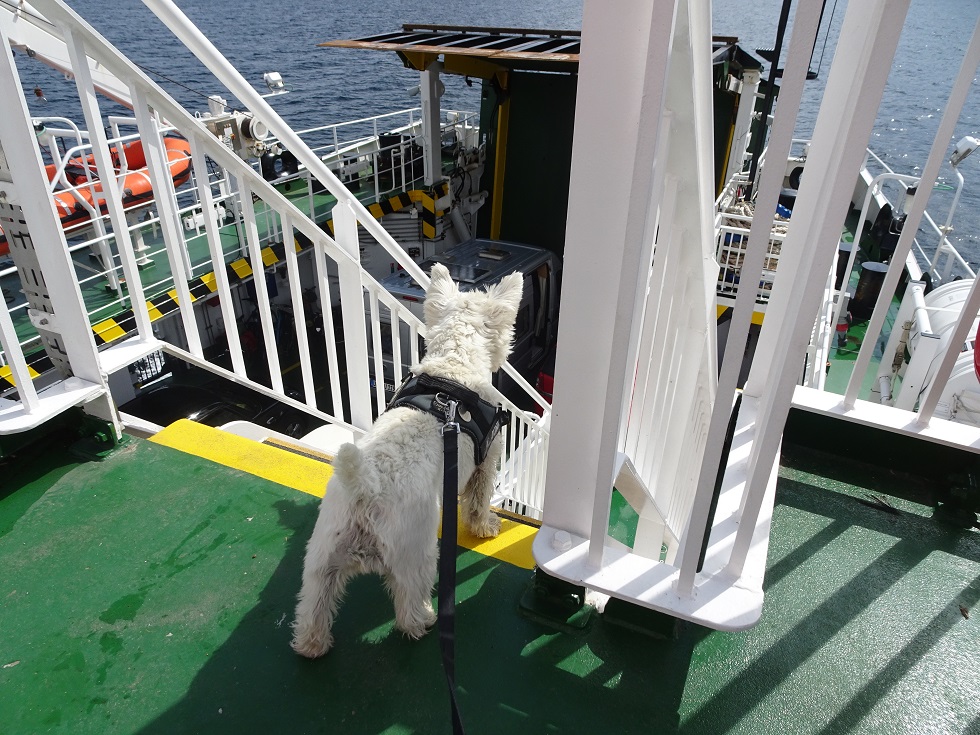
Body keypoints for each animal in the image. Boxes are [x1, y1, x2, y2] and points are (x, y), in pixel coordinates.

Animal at [290, 262, 524, 660]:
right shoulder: (487, 459)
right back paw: (424, 621)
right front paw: (486, 526)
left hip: (321, 554)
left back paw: (311, 645)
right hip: (416, 551)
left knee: (313, 605)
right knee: (408, 604)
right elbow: (478, 501)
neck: (454, 364)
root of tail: (366, 487)